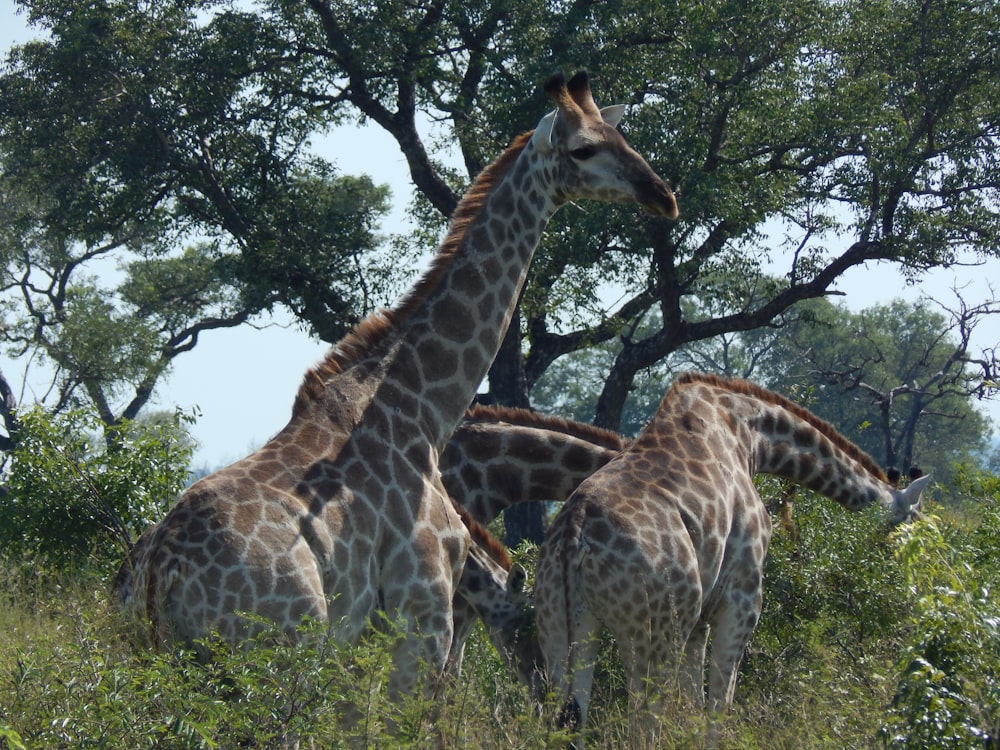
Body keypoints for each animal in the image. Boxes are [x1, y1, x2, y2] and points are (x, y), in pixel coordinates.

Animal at [119, 70, 680, 700]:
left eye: (621, 135)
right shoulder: (426, 600)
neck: (420, 406)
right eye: (583, 149)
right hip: (280, 653)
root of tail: (160, 572)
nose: (663, 195)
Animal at [536, 372, 932, 748]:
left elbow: (694, 708)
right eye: (914, 525)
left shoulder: (698, 619)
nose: (910, 589)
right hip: (652, 631)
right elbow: (718, 707)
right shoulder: (741, 596)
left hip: (562, 629)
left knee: (570, 717)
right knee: (643, 724)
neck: (749, 433)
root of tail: (574, 534)